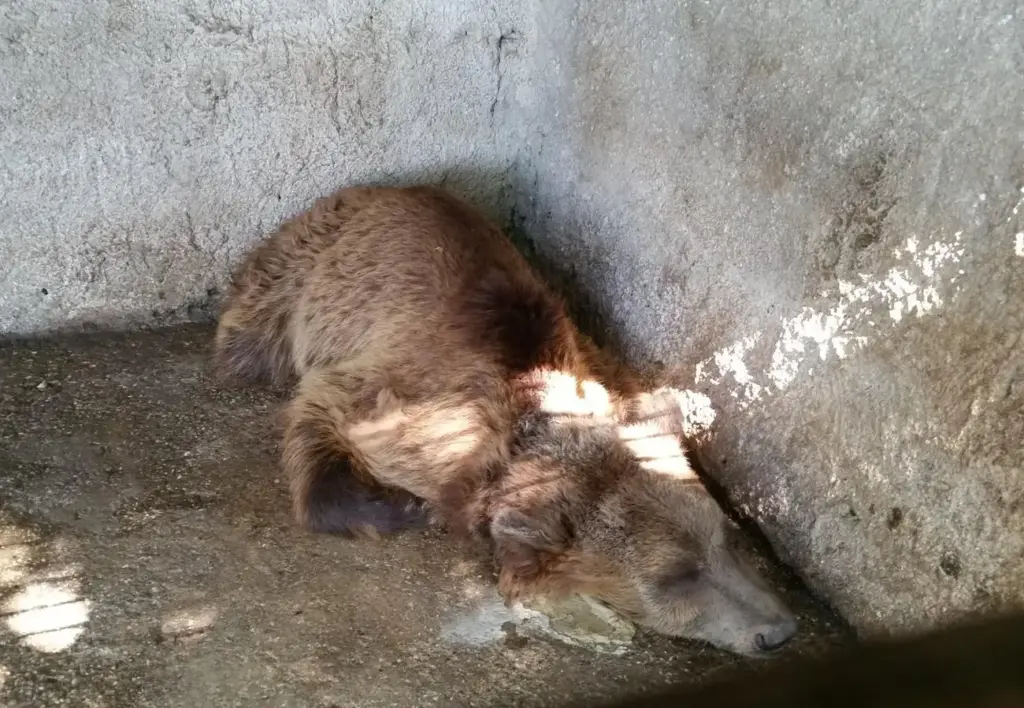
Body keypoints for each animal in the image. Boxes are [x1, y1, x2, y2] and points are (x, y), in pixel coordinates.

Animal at [213, 184, 798, 657]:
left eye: (729, 539)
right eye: (677, 576)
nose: (778, 630)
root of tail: (381, 186)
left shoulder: (600, 369)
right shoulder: (402, 401)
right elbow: (321, 414)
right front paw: (401, 508)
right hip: (300, 270)